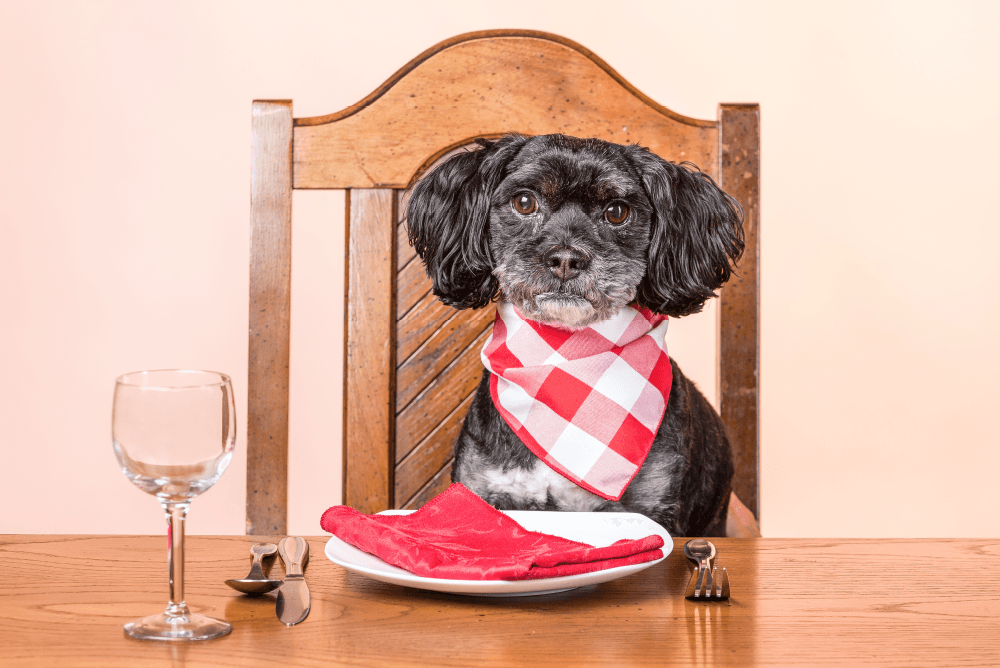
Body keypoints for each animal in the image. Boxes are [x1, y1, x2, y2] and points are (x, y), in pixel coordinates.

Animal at [404, 133, 744, 536]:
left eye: (617, 211)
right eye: (524, 202)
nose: (566, 259)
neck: (566, 358)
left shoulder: (651, 506)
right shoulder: (488, 487)